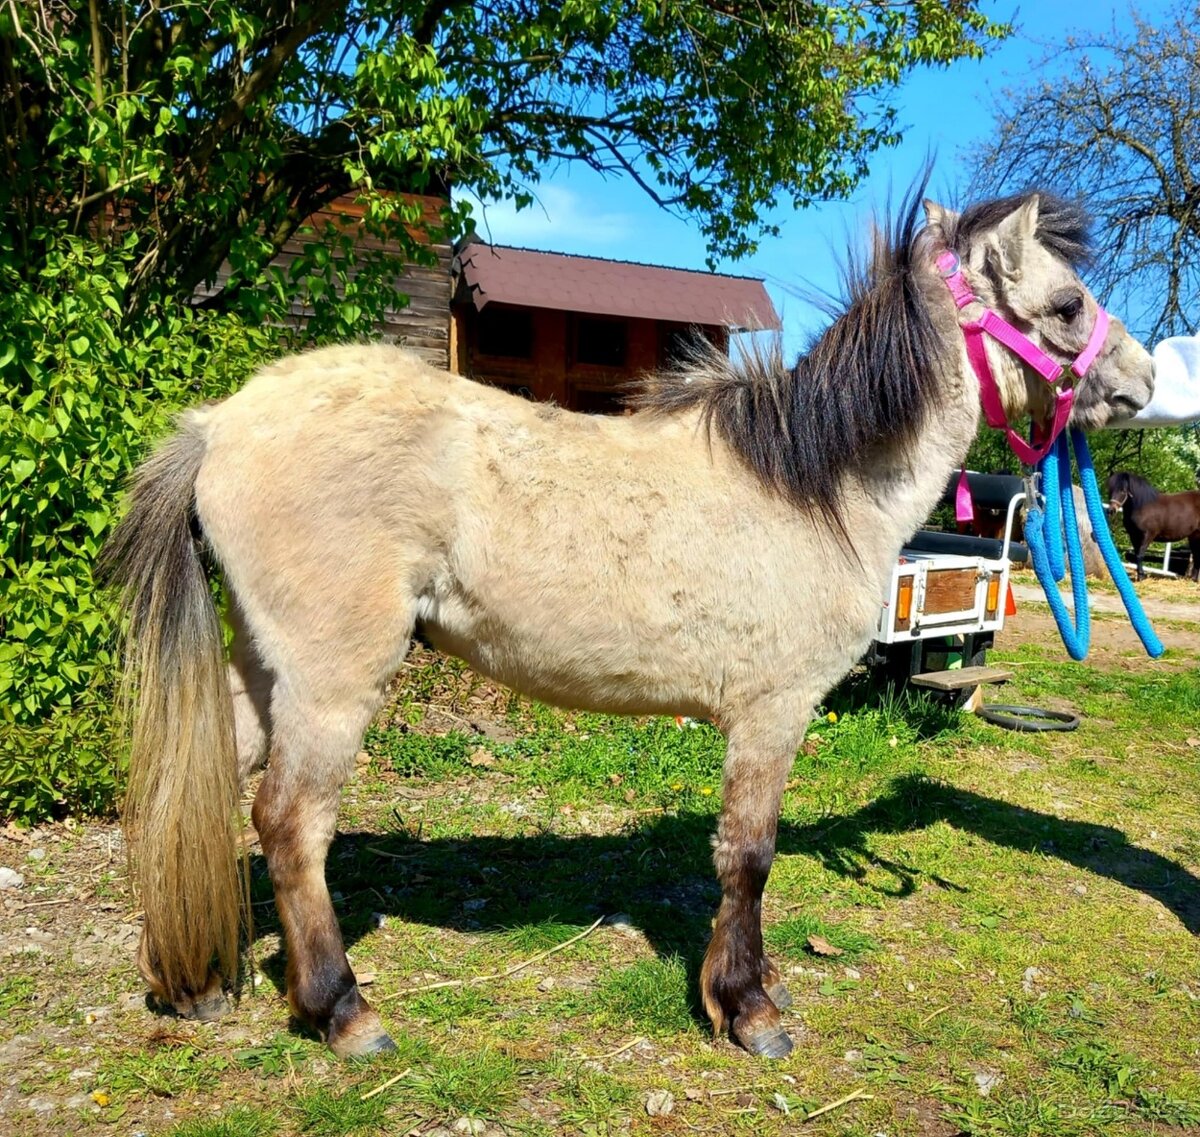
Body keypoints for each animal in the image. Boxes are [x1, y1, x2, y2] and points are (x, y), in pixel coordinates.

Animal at [102, 188, 1153, 1062]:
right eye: (1067, 305)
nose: (1144, 379)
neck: (817, 487)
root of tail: (220, 423)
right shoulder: (772, 714)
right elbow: (749, 856)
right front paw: (749, 1009)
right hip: (332, 679)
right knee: (292, 823)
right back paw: (343, 1013)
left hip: (265, 670)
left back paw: (193, 982)